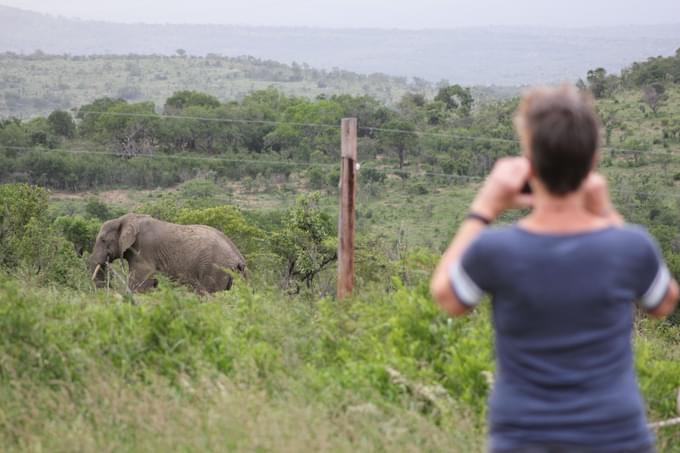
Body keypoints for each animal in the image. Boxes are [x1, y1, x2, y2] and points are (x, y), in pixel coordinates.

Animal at [89, 213, 246, 294]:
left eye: (103, 240)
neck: (124, 219)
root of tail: (239, 257)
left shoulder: (143, 251)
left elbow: (139, 283)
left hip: (215, 268)